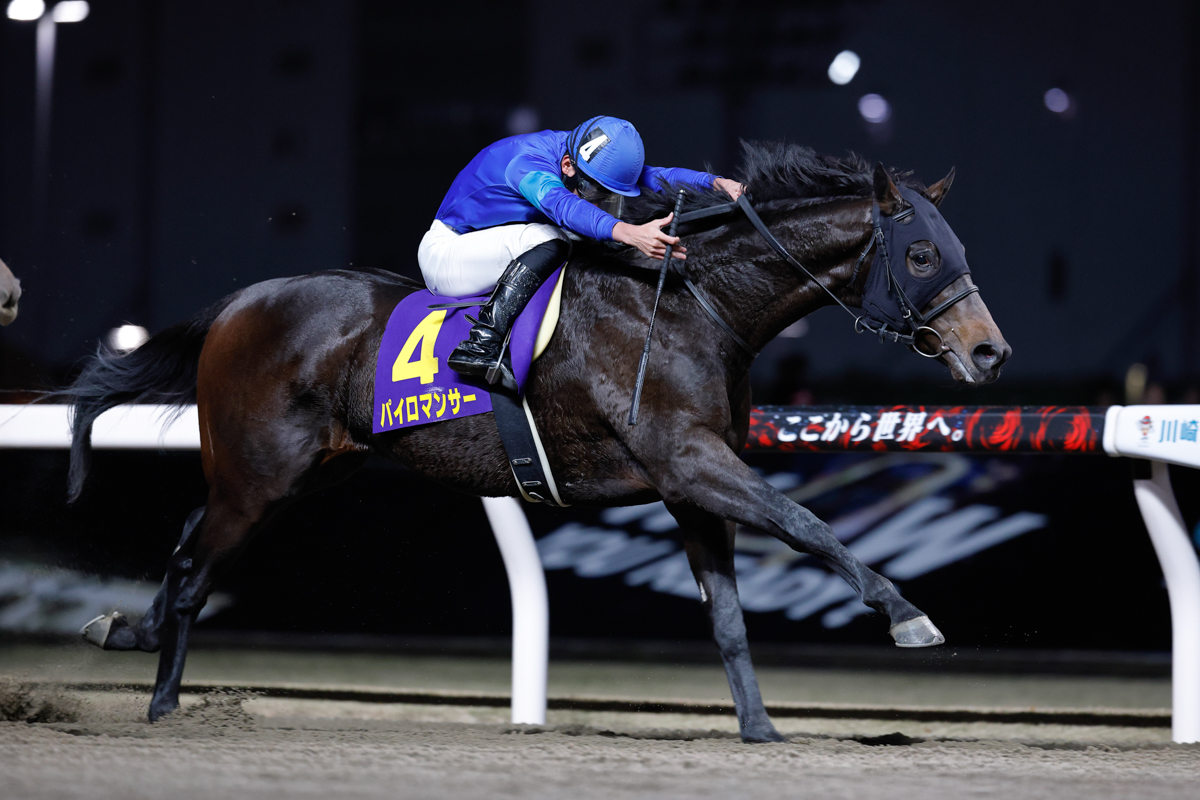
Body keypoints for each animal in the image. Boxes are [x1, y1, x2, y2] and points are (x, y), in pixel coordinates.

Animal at [66, 142, 1010, 741]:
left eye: (953, 248)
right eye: (921, 255)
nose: (989, 353)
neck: (690, 306)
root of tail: (237, 306)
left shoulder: (688, 484)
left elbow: (728, 616)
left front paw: (760, 729)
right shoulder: (692, 461)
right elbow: (807, 524)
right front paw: (909, 617)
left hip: (298, 474)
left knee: (187, 545)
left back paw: (132, 643)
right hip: (259, 475)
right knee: (195, 569)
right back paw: (156, 696)